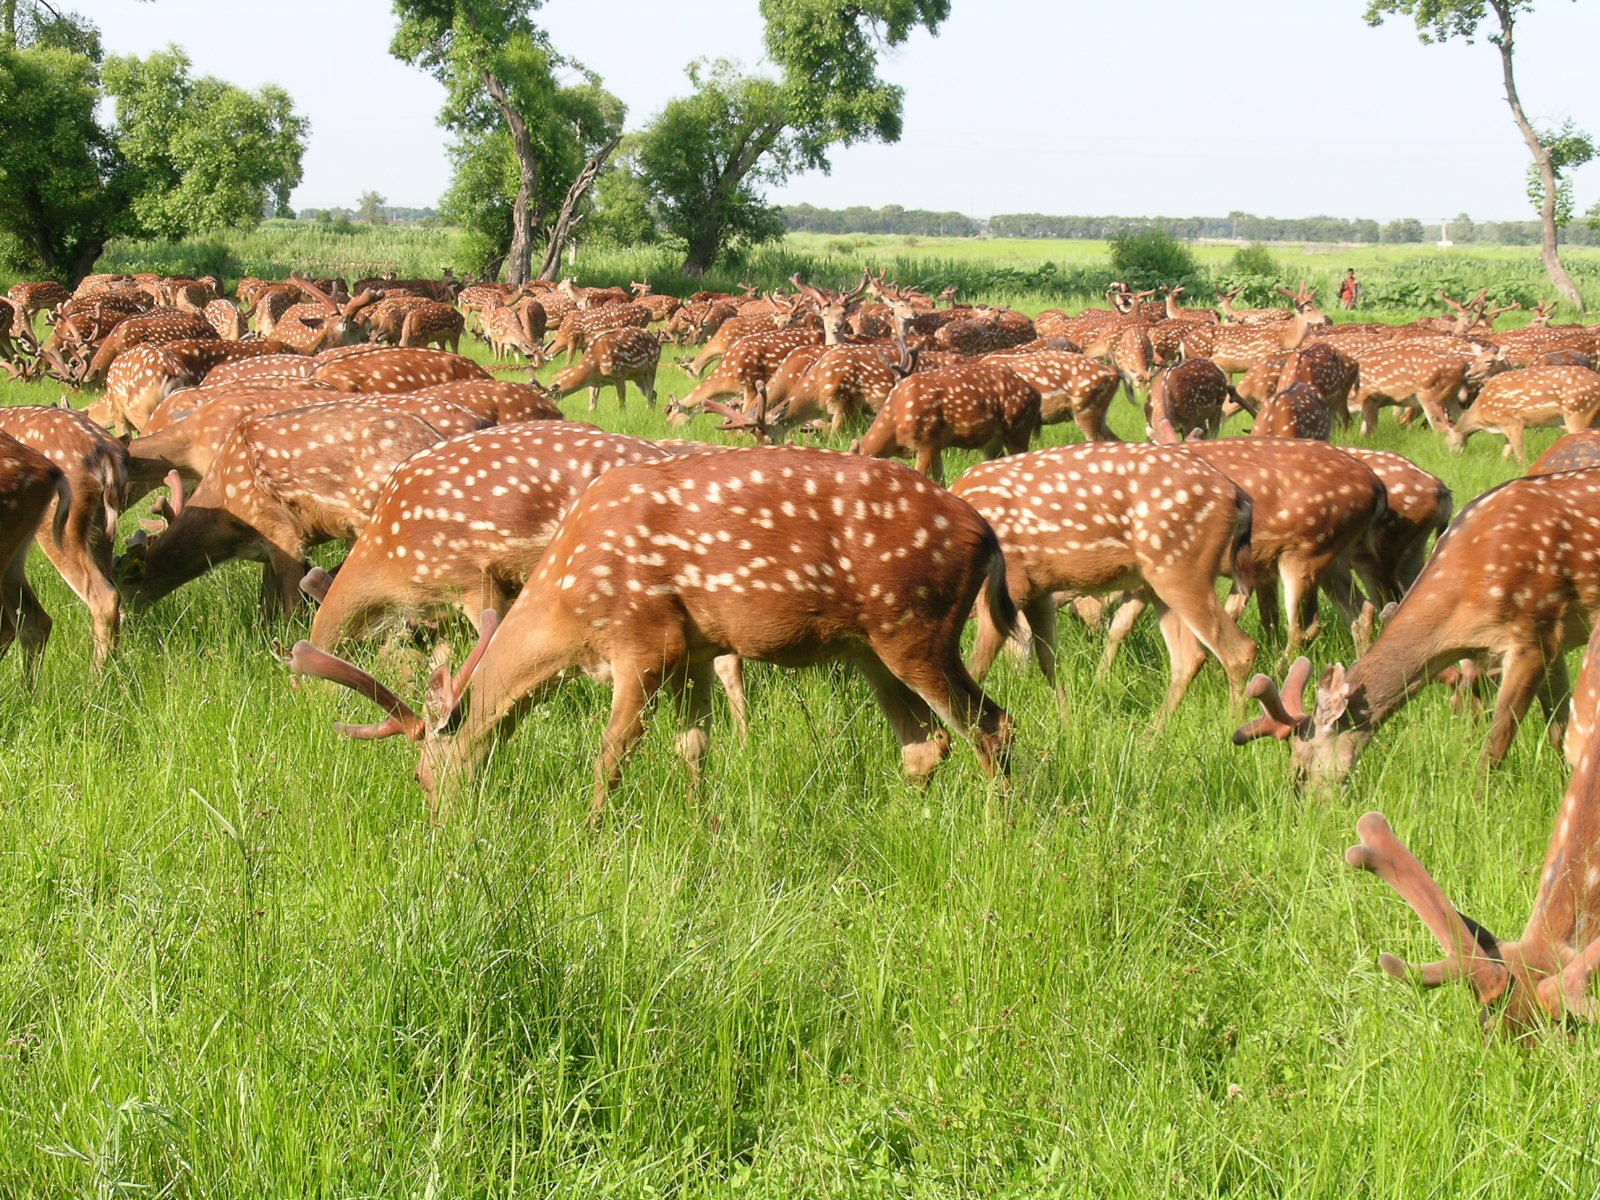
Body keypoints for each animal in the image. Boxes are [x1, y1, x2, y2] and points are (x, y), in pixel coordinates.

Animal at [286, 448, 1011, 825]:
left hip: (914, 625)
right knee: (926, 743)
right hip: (868, 648)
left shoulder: (645, 640)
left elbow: (612, 755)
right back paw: (906, 820)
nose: (438, 829)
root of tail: (986, 534)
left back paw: (1003, 828)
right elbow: (693, 748)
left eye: (420, 776)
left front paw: (592, 833)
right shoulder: (697, 650)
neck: (568, 610)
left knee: (991, 723)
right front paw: (699, 824)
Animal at [940, 448, 1254, 720]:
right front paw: (1067, 726)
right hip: (1160, 580)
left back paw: (1231, 727)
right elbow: (1050, 660)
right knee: (1190, 657)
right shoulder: (1039, 590)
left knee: (1239, 650)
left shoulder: (1012, 584)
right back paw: (1151, 737)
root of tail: (1239, 496)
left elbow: (976, 668)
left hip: (1181, 567)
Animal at [1446, 364, 1600, 464]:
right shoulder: (1505, 427)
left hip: (1578, 410)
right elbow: (1506, 454)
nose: (1453, 457)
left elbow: (1520, 455)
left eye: (1447, 443)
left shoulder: (1513, 421)